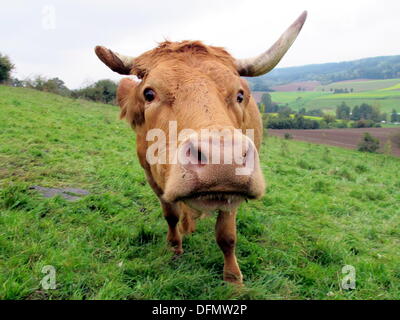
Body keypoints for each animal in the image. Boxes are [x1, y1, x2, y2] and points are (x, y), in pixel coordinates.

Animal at [95, 11, 308, 284]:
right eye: (149, 93)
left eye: (240, 95)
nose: (223, 159)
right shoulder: (153, 179)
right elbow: (171, 215)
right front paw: (175, 247)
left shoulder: (232, 195)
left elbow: (227, 236)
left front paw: (233, 278)